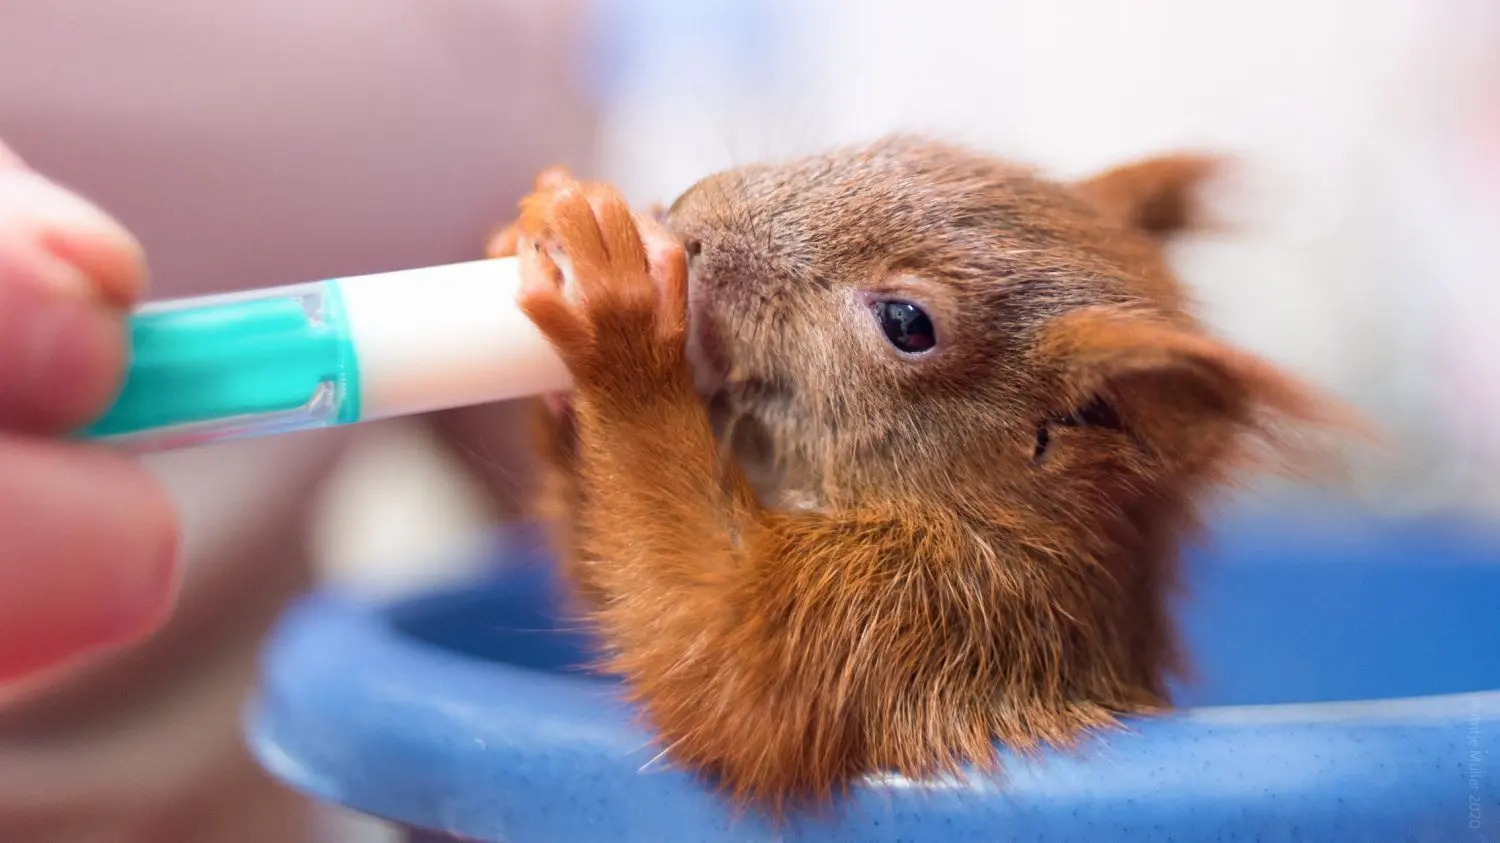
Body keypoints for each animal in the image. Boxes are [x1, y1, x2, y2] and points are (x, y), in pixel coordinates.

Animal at [483, 135, 1357, 818]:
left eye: (907, 323)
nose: (691, 220)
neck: (987, 515)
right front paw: (524, 242)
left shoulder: (924, 622)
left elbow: (725, 668)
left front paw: (619, 315)